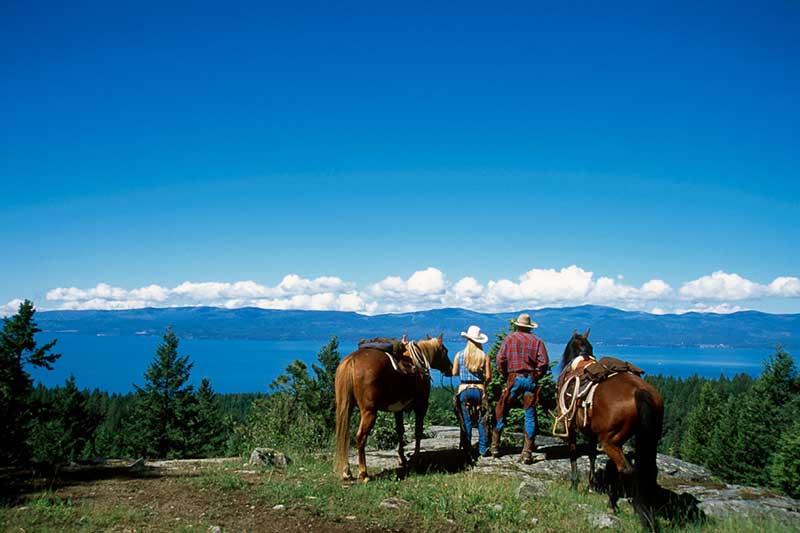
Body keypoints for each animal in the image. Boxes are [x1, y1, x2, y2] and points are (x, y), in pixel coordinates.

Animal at [334, 336, 454, 482]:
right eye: (445, 351)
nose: (451, 368)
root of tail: (352, 361)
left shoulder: (398, 410)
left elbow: (400, 431)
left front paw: (402, 459)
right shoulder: (421, 406)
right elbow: (418, 432)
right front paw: (415, 458)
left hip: (345, 407)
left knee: (344, 436)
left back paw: (347, 472)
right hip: (369, 412)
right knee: (360, 437)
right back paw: (364, 473)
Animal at [556, 330, 664, 528]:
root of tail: (639, 391)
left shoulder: (570, 424)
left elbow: (573, 452)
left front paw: (574, 484)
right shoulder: (591, 431)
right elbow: (591, 454)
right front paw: (590, 485)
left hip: (609, 441)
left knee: (626, 469)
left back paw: (612, 504)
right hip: (649, 438)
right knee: (647, 471)